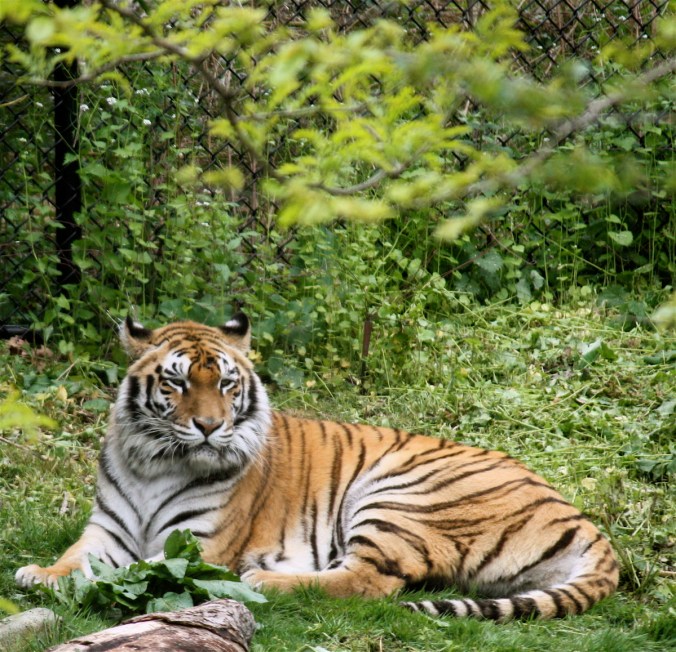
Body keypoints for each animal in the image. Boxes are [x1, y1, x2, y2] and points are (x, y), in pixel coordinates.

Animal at [16, 313, 619, 621]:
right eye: (177, 382)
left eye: (227, 384)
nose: (209, 427)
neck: (155, 463)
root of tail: (582, 520)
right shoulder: (107, 529)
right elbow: (78, 558)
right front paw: (40, 574)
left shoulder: (196, 546)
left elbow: (137, 572)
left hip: (397, 493)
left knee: (369, 581)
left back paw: (262, 577)